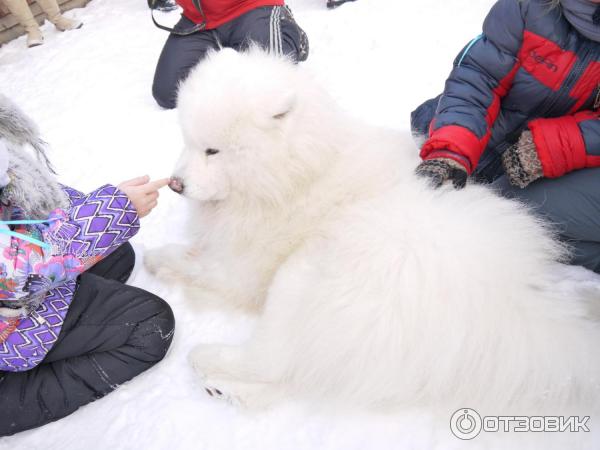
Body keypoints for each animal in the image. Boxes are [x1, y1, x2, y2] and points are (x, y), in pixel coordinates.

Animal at [145, 49, 600, 414]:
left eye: (213, 150)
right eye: (189, 141)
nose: (175, 184)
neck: (297, 173)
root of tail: (507, 310)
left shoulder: (242, 269)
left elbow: (194, 262)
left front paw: (154, 257)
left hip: (312, 272)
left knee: (277, 358)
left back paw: (209, 359)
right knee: (307, 372)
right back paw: (230, 392)